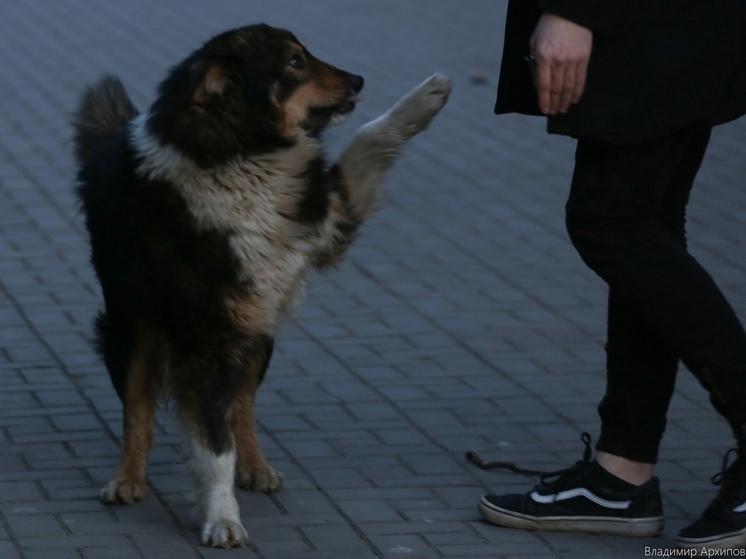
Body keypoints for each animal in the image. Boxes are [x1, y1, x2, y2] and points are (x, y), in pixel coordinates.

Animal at [72, 23, 450, 548]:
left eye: (305, 52)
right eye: (294, 62)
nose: (357, 79)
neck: (244, 155)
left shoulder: (327, 222)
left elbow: (368, 139)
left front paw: (426, 99)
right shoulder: (209, 338)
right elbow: (211, 446)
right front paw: (222, 518)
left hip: (258, 333)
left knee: (242, 409)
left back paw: (257, 466)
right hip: (132, 331)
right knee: (139, 411)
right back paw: (126, 479)